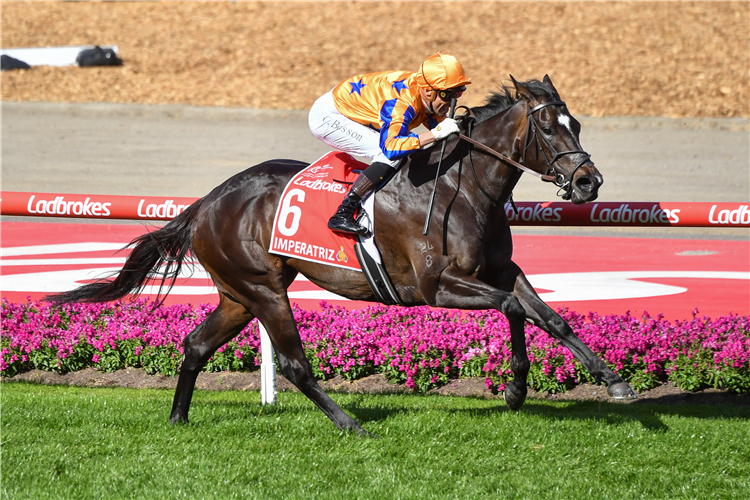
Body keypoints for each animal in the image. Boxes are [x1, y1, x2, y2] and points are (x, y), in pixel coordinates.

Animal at [53, 74, 636, 434]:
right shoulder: (436, 286)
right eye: (547, 126)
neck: (464, 186)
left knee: (195, 346)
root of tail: (208, 202)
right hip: (264, 290)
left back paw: (178, 419)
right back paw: (350, 424)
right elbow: (514, 309)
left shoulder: (500, 269)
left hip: (238, 294)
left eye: (576, 124)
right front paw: (515, 389)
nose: (589, 181)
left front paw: (614, 381)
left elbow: (548, 317)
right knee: (294, 365)